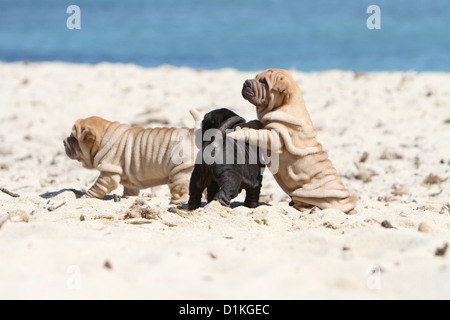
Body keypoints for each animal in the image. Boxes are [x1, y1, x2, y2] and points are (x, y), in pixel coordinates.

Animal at [63, 112, 199, 202]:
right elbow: (130, 189)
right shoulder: (129, 177)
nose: (64, 141)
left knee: (181, 189)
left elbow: (97, 187)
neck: (105, 136)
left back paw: (177, 202)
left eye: (74, 138)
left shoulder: (109, 173)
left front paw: (85, 197)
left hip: (181, 171)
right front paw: (126, 197)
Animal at [230, 68, 356, 214]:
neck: (285, 104)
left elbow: (256, 133)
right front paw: (244, 125)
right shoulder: (265, 124)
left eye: (263, 82)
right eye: (256, 77)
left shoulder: (275, 137)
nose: (245, 82)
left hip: (308, 195)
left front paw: (239, 132)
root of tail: (349, 205)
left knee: (305, 205)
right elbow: (255, 123)